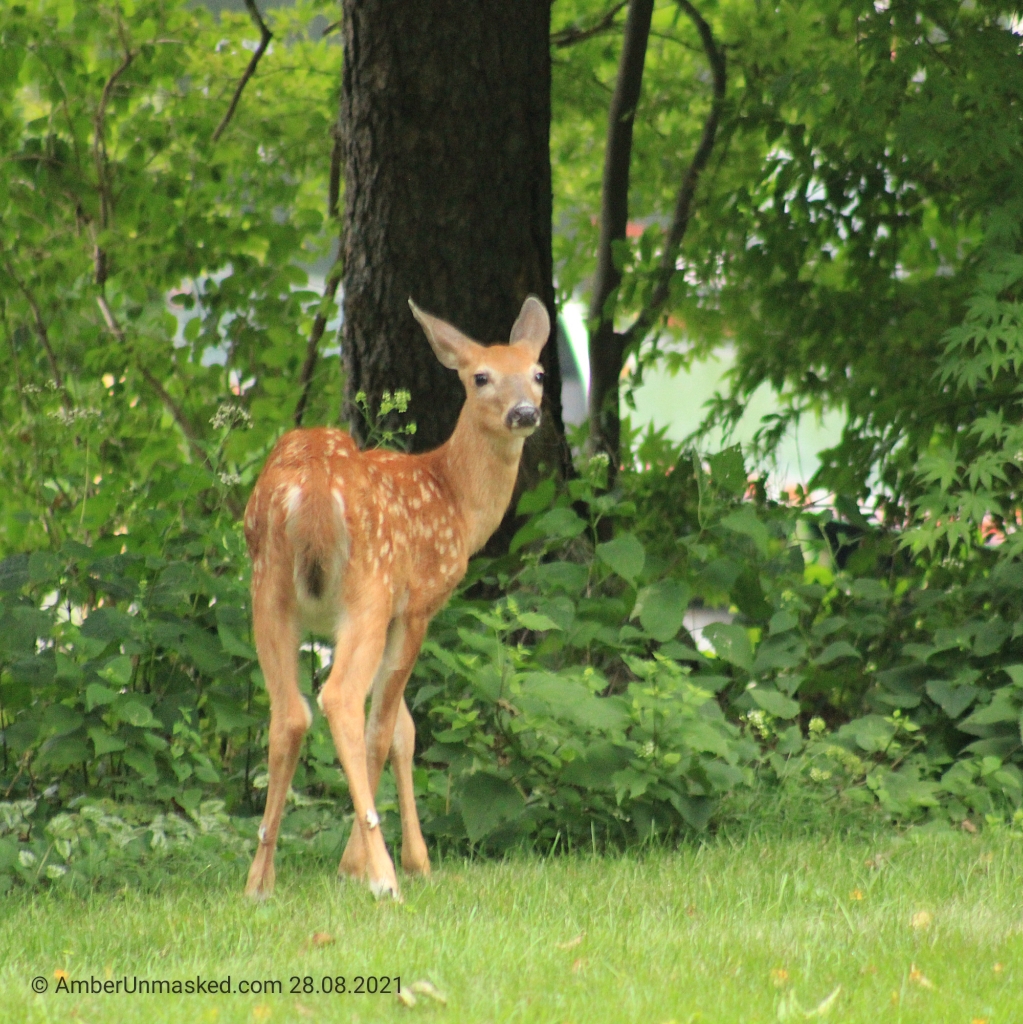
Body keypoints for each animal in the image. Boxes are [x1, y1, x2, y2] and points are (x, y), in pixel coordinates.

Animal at [242, 295, 550, 900]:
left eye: (538, 373)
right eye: (480, 377)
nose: (524, 413)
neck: (455, 502)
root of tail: (314, 492)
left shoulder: (388, 620)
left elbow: (404, 730)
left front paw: (409, 858)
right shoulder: (418, 605)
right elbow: (386, 728)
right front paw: (369, 864)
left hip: (268, 594)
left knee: (288, 713)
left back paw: (259, 880)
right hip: (368, 590)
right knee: (339, 700)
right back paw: (382, 879)